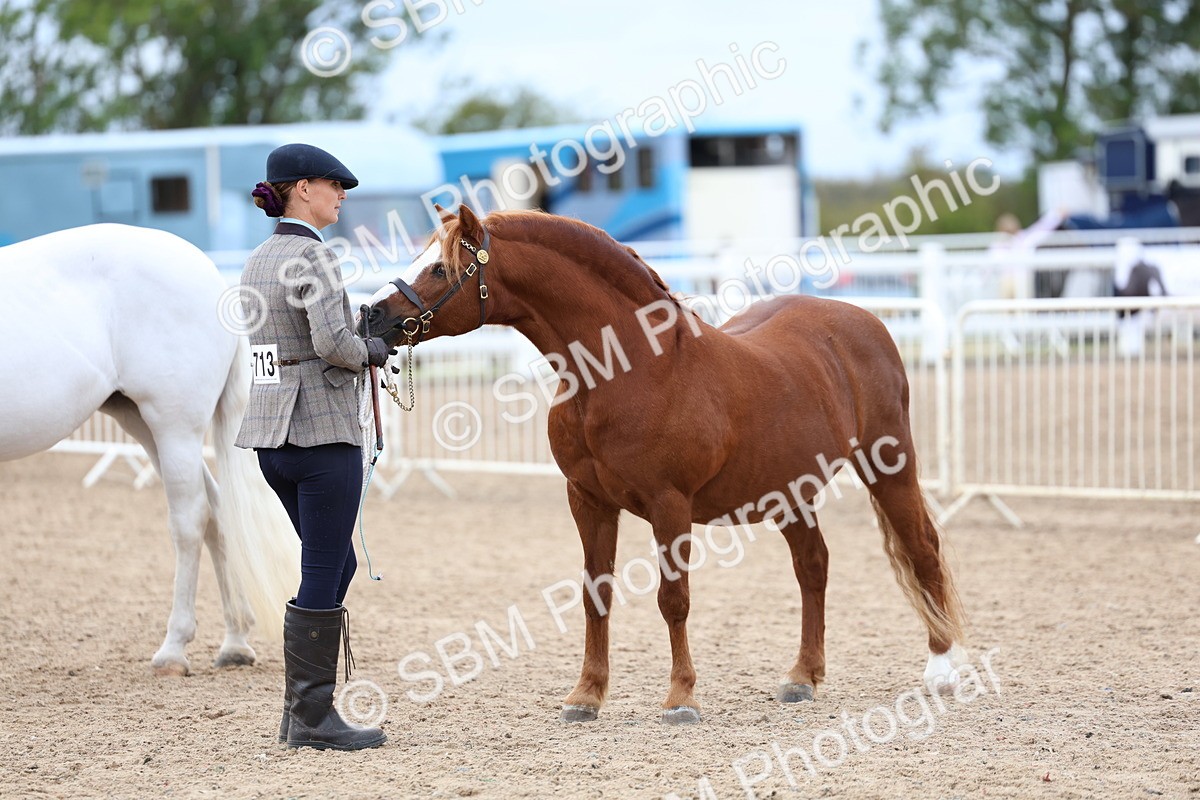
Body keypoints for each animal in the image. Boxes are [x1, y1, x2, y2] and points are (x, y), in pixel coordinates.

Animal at [0, 223, 299, 676]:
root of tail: (213, 277)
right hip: (140, 420)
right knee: (217, 510)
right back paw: (234, 643)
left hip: (174, 425)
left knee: (191, 518)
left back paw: (173, 650)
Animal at [364, 205, 966, 724]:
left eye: (441, 267)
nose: (372, 313)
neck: (628, 370)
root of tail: (864, 320)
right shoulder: (587, 501)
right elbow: (596, 594)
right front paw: (586, 696)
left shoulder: (669, 505)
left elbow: (673, 600)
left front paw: (681, 699)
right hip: (791, 491)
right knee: (813, 566)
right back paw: (803, 677)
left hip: (889, 465)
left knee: (922, 549)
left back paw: (942, 668)